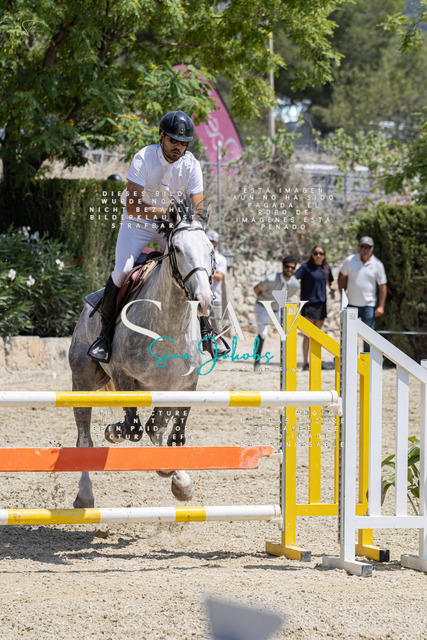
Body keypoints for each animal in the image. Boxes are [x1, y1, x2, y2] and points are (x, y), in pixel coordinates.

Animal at [68, 204, 215, 507]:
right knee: (84, 439)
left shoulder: (184, 385)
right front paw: (113, 432)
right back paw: (85, 495)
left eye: (210, 249)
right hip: (83, 380)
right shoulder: (124, 377)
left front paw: (180, 482)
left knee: (153, 427)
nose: (204, 299)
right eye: (177, 249)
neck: (168, 323)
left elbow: (171, 435)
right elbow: (132, 429)